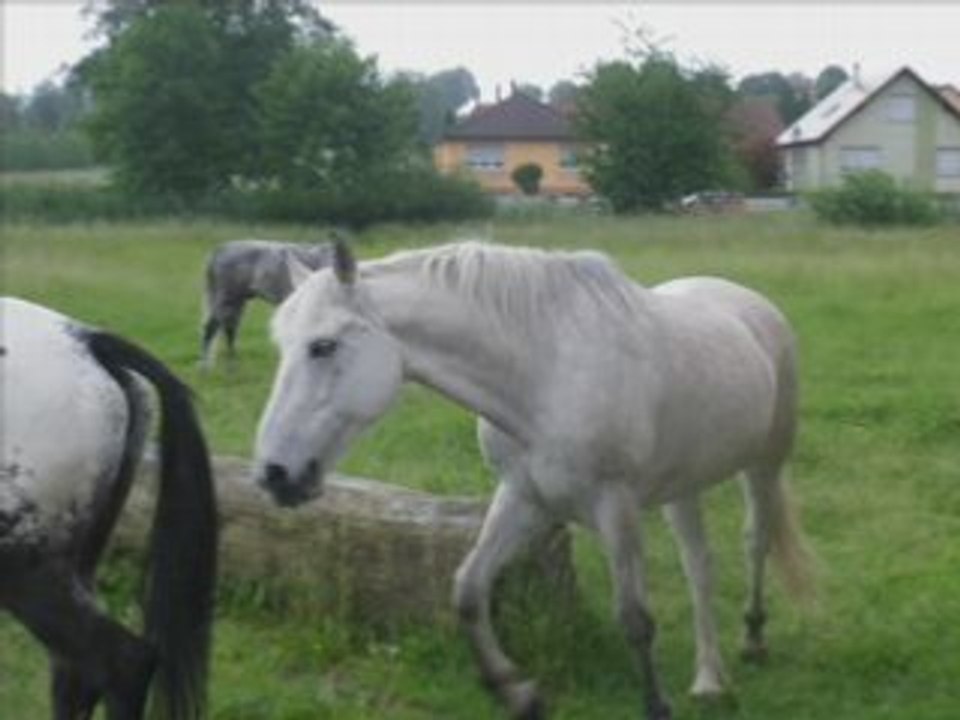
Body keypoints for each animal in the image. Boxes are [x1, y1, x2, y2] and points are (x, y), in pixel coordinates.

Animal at [251, 240, 815, 720]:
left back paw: (753, 640)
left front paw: (656, 707)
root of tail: (749, 303)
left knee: (756, 542)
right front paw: (516, 692)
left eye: (323, 346)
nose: (274, 474)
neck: (543, 376)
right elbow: (469, 589)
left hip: (765, 463)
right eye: (280, 345)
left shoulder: (615, 504)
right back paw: (708, 680)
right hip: (683, 486)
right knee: (700, 567)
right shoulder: (524, 498)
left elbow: (634, 619)